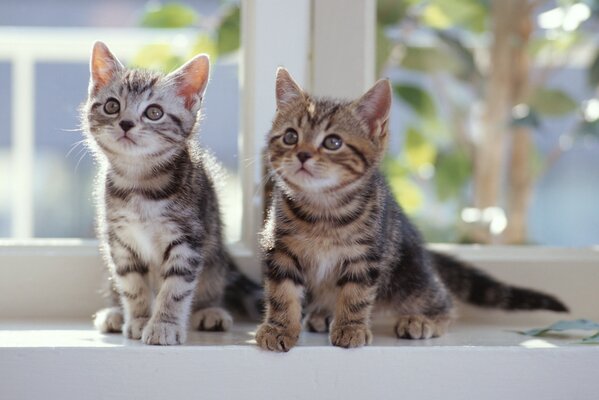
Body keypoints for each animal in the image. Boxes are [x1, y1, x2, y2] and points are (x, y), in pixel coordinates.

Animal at [81, 42, 258, 346]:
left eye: (154, 112)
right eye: (112, 106)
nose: (126, 123)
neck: (139, 184)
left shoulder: (187, 239)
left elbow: (175, 288)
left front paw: (163, 324)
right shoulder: (121, 242)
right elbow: (132, 284)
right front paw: (140, 319)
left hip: (214, 256)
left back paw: (210, 311)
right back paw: (115, 313)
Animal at [256, 69, 568, 350]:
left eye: (333, 142)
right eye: (290, 137)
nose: (302, 154)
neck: (321, 209)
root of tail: (424, 253)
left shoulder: (366, 255)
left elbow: (356, 295)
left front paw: (350, 327)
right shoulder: (281, 250)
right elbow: (282, 293)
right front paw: (279, 327)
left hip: (409, 276)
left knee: (445, 301)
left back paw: (422, 320)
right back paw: (321, 312)